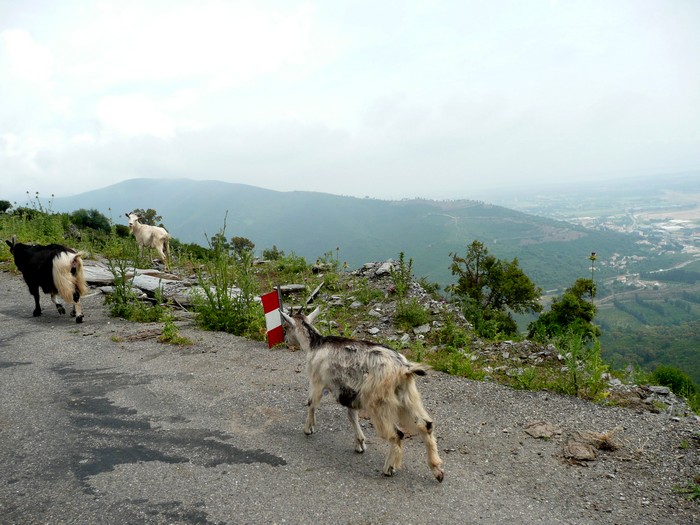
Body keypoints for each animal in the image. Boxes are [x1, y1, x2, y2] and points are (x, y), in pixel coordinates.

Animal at [278, 308, 442, 484]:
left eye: (285, 327)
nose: (286, 342)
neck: (315, 344)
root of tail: (403, 368)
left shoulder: (317, 381)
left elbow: (311, 403)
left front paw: (308, 429)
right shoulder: (351, 393)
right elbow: (352, 416)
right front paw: (360, 443)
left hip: (379, 402)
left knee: (396, 434)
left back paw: (389, 468)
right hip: (408, 397)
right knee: (425, 425)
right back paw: (437, 470)